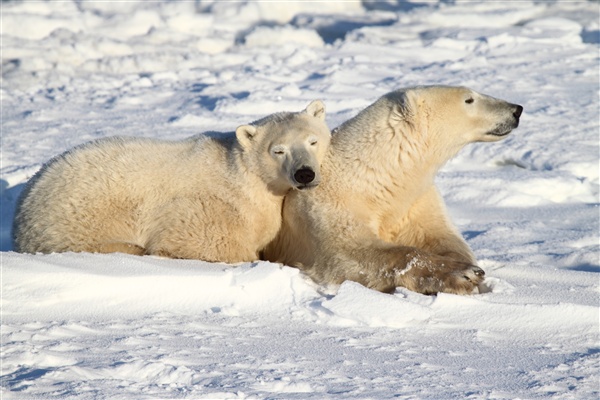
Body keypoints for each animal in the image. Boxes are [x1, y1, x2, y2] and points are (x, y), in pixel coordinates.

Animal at [264, 86, 524, 296]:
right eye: (469, 99)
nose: (517, 109)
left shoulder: (415, 201)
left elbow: (443, 237)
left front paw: (469, 269)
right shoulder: (329, 205)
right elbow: (351, 252)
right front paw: (461, 274)